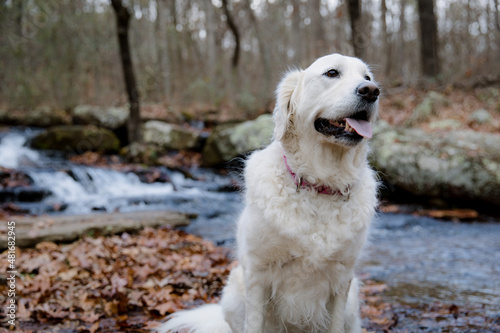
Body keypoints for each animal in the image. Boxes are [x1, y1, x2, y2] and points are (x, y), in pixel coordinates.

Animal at [158, 53, 380, 332]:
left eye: (367, 77)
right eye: (331, 73)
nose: (371, 91)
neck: (319, 185)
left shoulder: (342, 280)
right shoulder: (258, 275)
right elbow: (254, 323)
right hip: (233, 295)